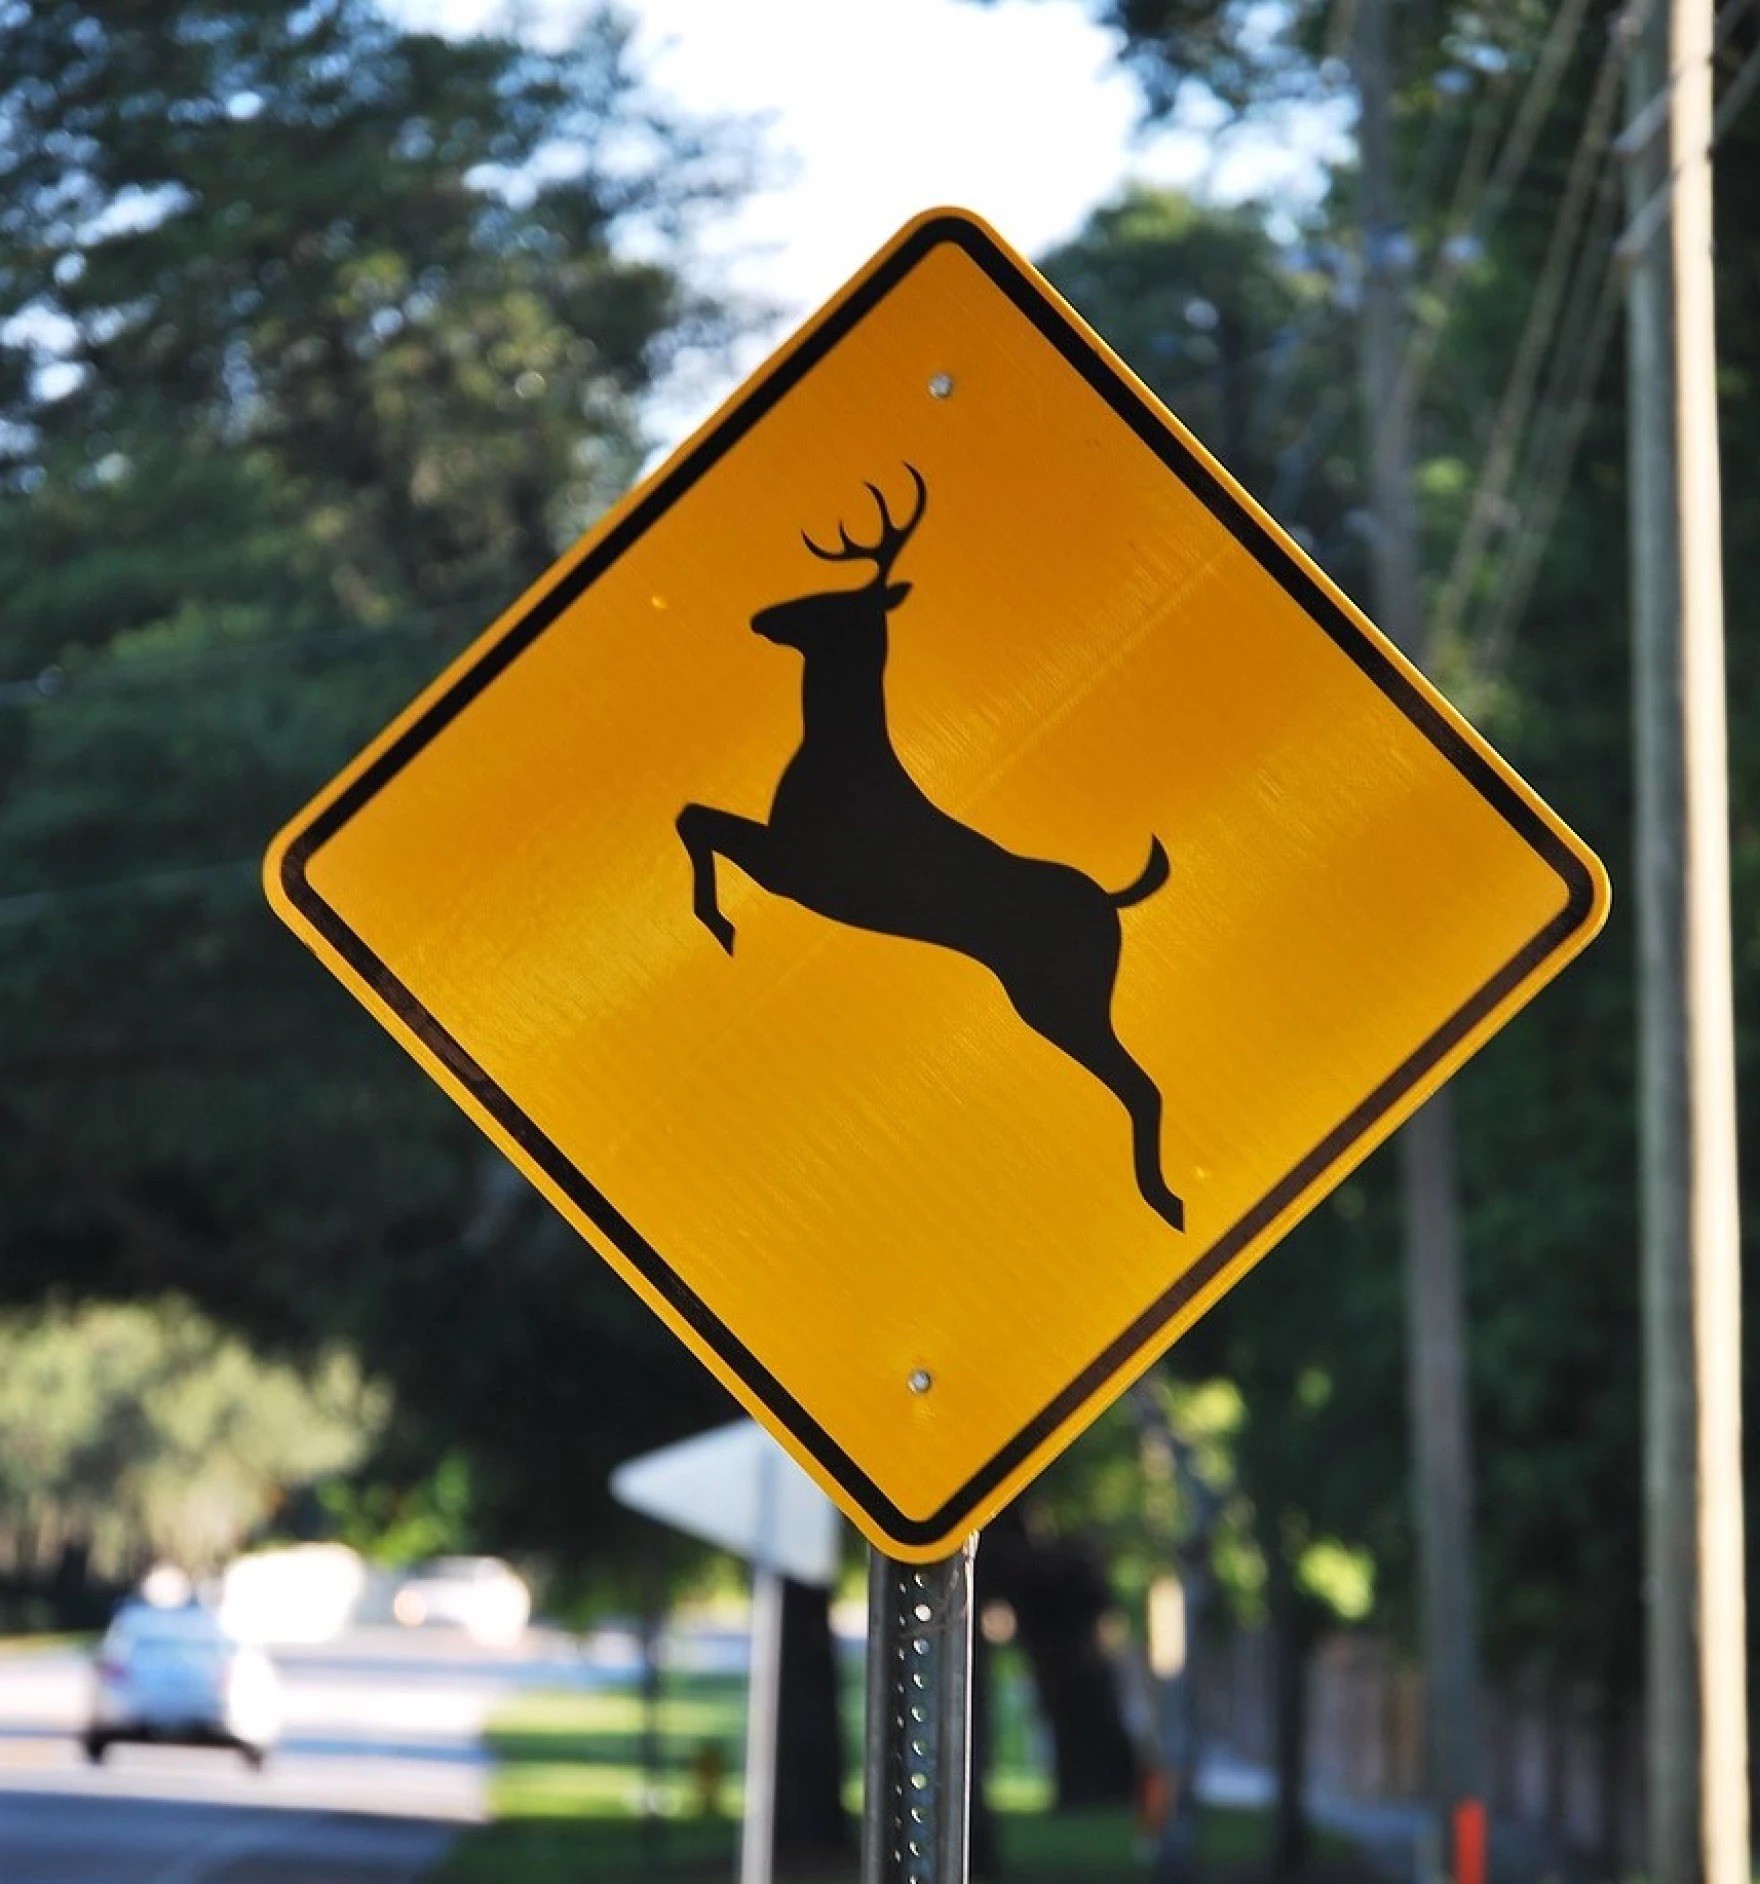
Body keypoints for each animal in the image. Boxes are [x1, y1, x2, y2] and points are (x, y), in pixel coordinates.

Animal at [676, 466, 1185, 1233]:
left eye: (832, 604)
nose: (762, 618)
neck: (837, 750)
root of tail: (1112, 901)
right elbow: (695, 818)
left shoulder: (798, 867)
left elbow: (696, 820)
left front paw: (720, 924)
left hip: (1060, 994)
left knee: (1139, 1083)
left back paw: (1166, 1202)